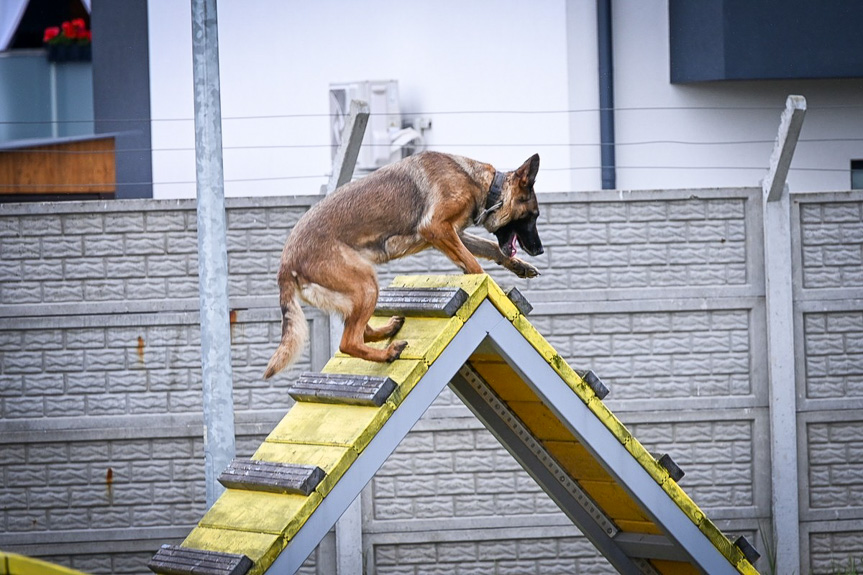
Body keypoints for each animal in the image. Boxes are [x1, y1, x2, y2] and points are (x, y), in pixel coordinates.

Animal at [264, 151, 548, 380]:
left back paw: (388, 330)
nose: (540, 250)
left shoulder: (453, 233)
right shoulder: (436, 228)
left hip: (355, 292)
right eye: (533, 216)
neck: (484, 186)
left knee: (361, 332)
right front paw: (488, 285)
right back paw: (388, 353)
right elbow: (474, 263)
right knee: (348, 342)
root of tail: (285, 263)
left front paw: (519, 266)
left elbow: (488, 248)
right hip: (366, 282)